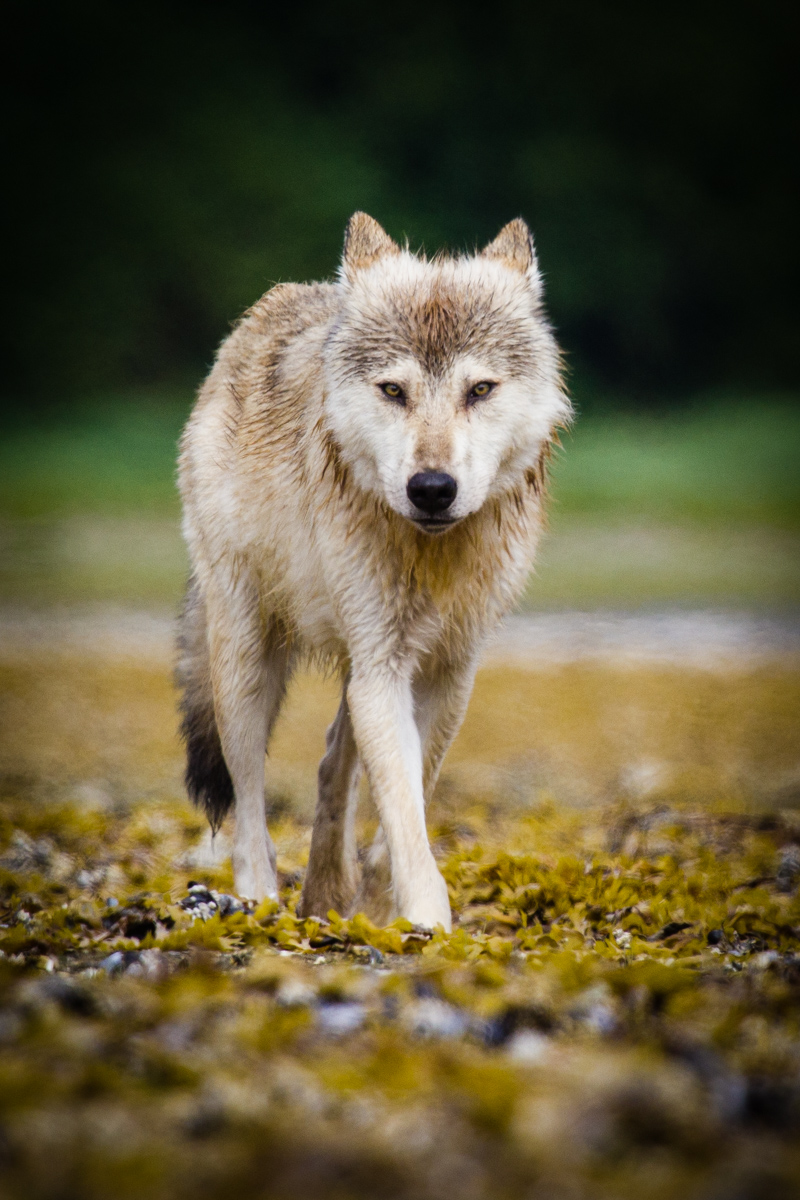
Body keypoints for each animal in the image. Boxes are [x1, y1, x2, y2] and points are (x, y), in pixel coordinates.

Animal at [178, 213, 573, 926]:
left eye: (479, 390)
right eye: (394, 390)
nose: (432, 489)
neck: (432, 553)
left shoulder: (449, 670)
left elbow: (411, 795)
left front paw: (388, 908)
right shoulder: (383, 668)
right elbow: (403, 806)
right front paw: (427, 920)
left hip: (350, 669)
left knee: (332, 761)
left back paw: (328, 894)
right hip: (248, 663)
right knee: (248, 804)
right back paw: (262, 900)